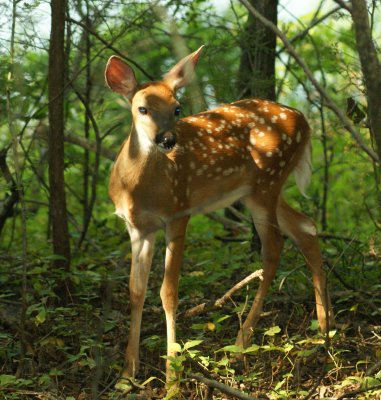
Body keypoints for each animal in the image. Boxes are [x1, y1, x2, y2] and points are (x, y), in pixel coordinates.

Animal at [104, 47, 332, 384]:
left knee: (274, 247)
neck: (140, 188)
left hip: (266, 181)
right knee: (306, 227)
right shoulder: (137, 228)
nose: (168, 140)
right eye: (142, 108)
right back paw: (325, 328)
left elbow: (168, 292)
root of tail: (305, 121)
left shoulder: (179, 212)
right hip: (259, 189)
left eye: (177, 108)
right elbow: (135, 291)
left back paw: (242, 341)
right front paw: (127, 372)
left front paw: (172, 376)